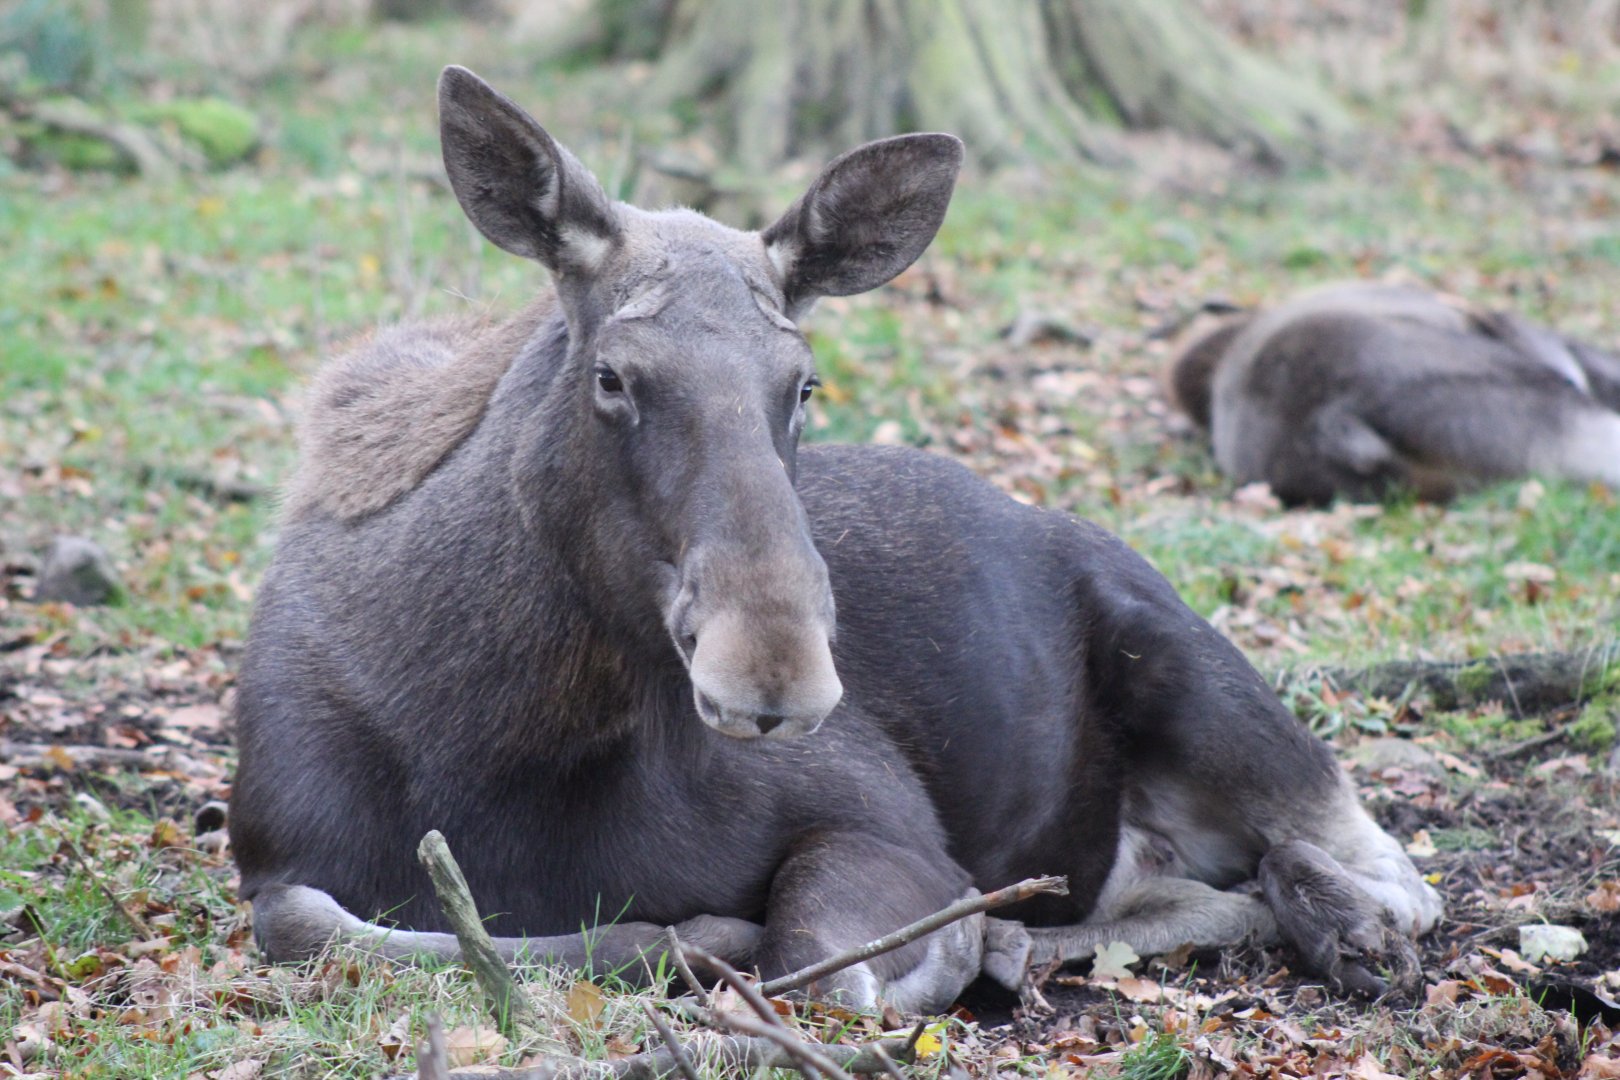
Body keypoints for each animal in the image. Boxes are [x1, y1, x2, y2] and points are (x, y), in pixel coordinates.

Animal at [228, 67, 1441, 1013]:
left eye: (803, 383)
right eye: (612, 376)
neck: (493, 738)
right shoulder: (274, 857)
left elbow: (815, 955)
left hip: (1200, 675)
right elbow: (311, 924)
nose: (776, 673)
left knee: (1386, 874)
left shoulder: (891, 827)